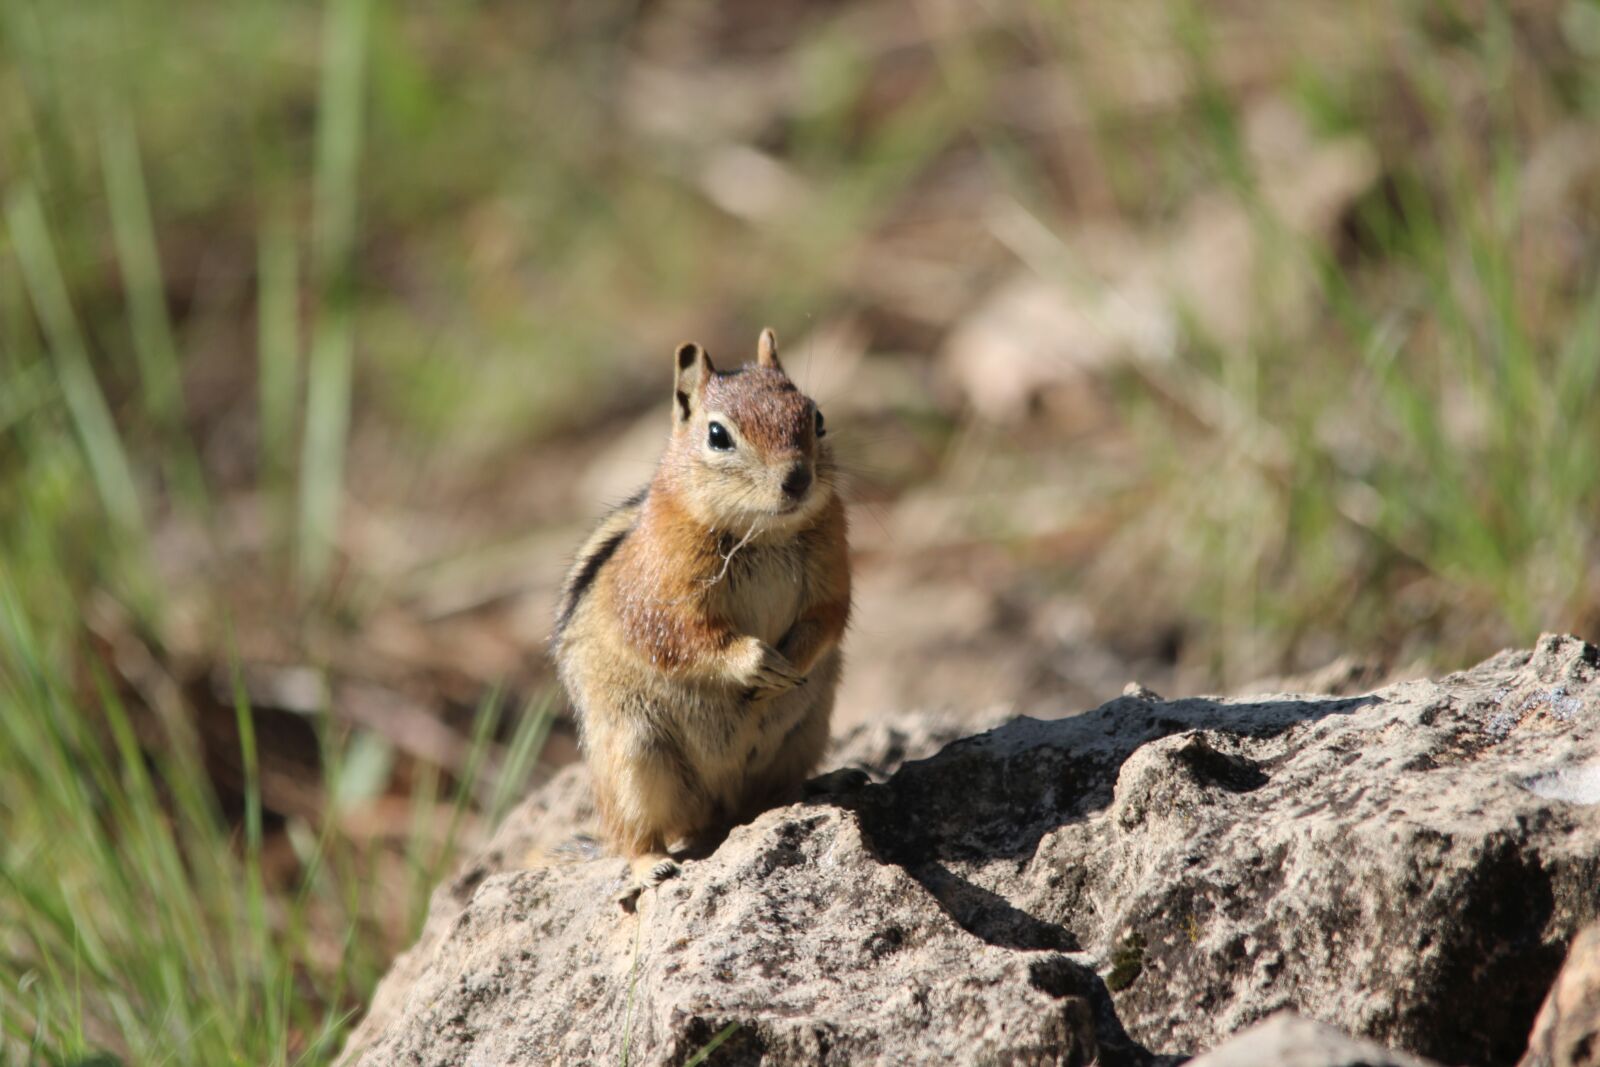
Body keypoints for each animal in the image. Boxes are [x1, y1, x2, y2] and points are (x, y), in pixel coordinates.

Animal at [553, 328, 852, 910]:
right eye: (718, 436)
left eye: (817, 418)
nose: (798, 479)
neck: (763, 531)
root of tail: (717, 808)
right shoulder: (659, 589)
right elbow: (682, 638)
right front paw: (755, 662)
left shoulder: (834, 566)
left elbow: (828, 617)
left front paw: (789, 664)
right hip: (633, 755)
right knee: (636, 834)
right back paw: (650, 868)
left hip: (805, 731)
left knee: (764, 797)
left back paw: (813, 789)